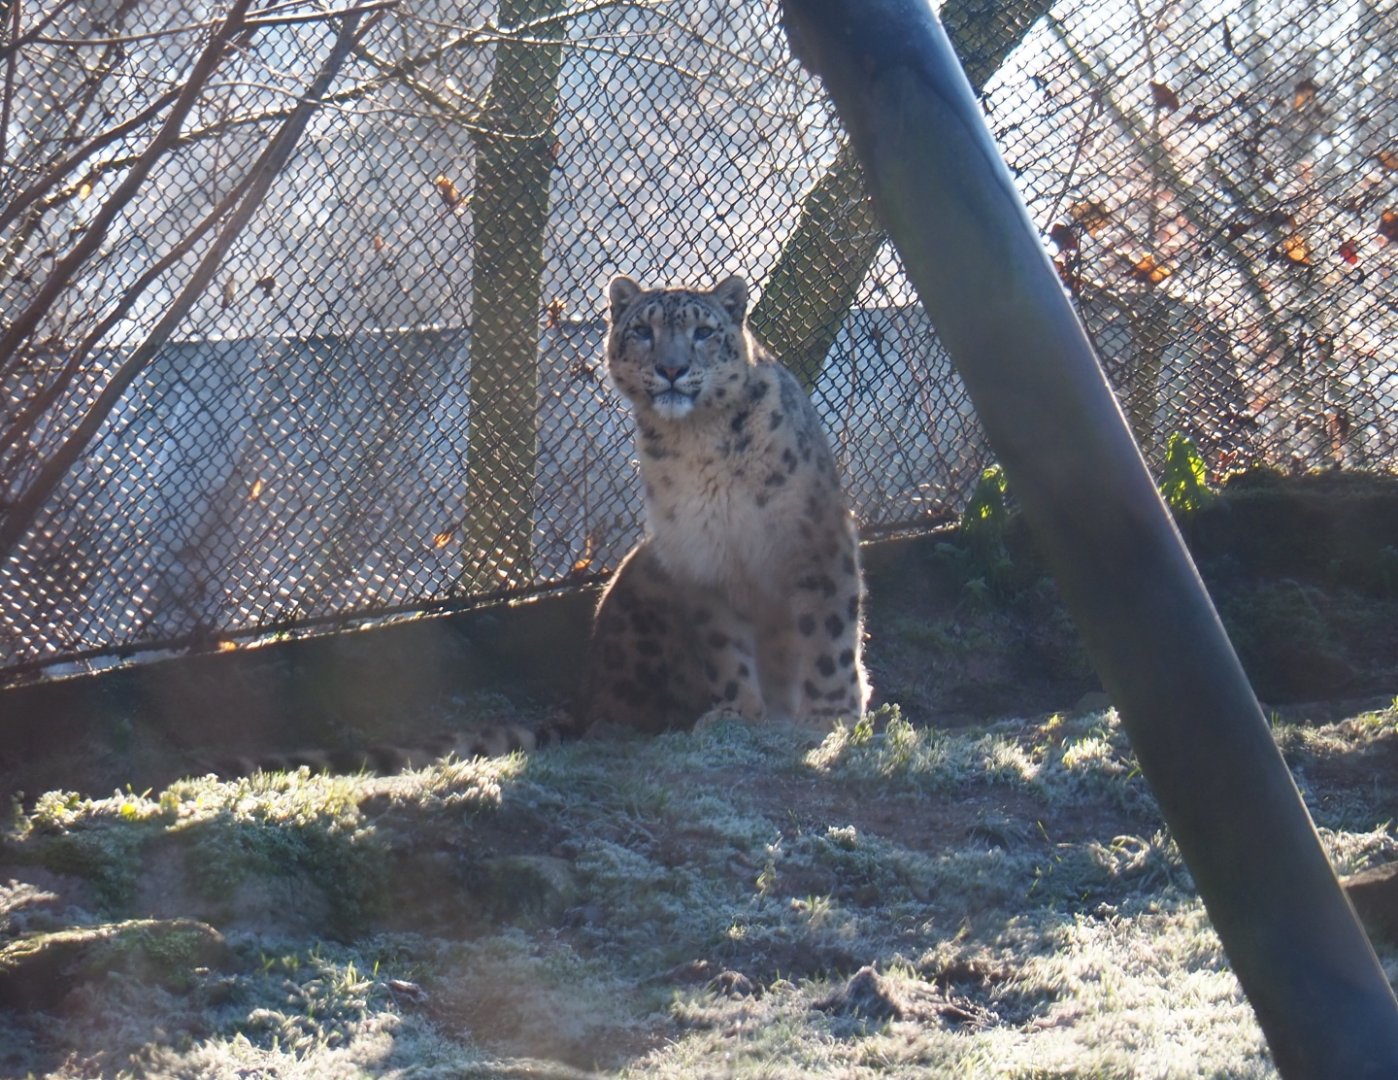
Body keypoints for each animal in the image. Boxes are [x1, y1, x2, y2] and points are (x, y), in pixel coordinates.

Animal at [579, 273, 869, 733]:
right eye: (642, 330)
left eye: (703, 332)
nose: (672, 368)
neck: (697, 439)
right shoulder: (700, 553)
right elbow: (722, 644)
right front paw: (737, 712)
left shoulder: (816, 533)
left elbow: (829, 626)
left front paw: (831, 710)